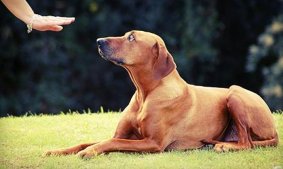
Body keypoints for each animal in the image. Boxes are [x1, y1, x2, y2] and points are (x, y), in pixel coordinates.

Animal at [45, 30, 280, 158]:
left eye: (131, 38)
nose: (99, 41)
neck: (145, 94)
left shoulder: (153, 143)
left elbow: (110, 143)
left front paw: (91, 151)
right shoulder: (122, 134)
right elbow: (87, 142)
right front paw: (56, 151)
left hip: (235, 93)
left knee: (247, 143)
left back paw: (224, 146)